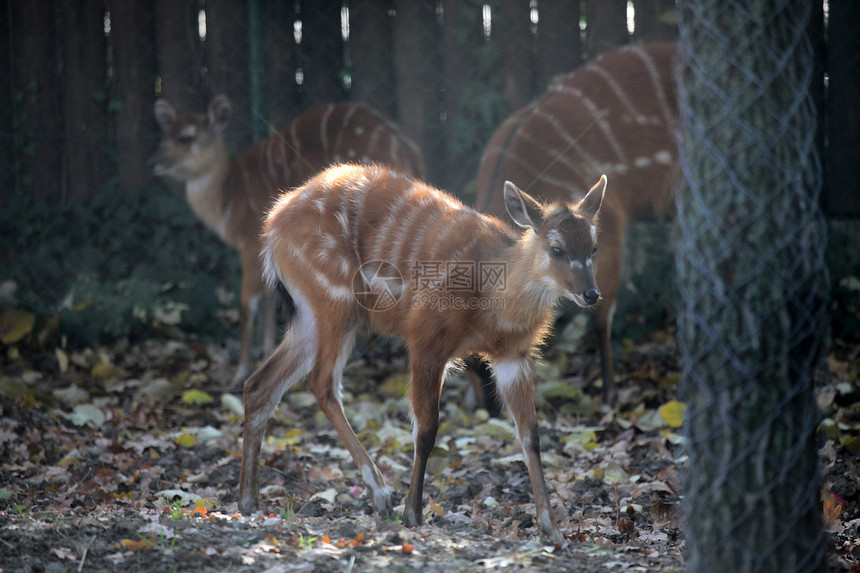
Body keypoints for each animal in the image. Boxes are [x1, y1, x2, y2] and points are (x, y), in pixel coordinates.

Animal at [154, 96, 426, 386]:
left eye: (186, 137)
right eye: (164, 135)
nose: (152, 163)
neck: (228, 199)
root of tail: (407, 150)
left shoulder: (251, 243)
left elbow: (248, 302)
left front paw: (240, 371)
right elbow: (269, 300)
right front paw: (265, 352)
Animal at [239, 163, 608, 544]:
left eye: (594, 247)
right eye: (557, 249)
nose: (591, 294)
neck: (492, 300)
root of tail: (272, 226)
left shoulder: (513, 355)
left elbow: (530, 433)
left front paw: (552, 528)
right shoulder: (427, 338)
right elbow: (427, 428)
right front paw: (413, 514)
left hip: (311, 313)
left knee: (260, 384)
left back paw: (249, 501)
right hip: (335, 300)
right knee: (322, 383)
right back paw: (379, 492)